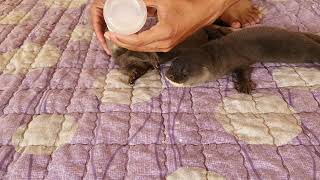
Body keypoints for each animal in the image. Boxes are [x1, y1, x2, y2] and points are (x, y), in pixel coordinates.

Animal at [165, 27, 320, 94]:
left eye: (185, 73)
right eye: (173, 63)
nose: (169, 75)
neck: (220, 53)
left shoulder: (238, 60)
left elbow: (244, 69)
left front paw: (244, 85)